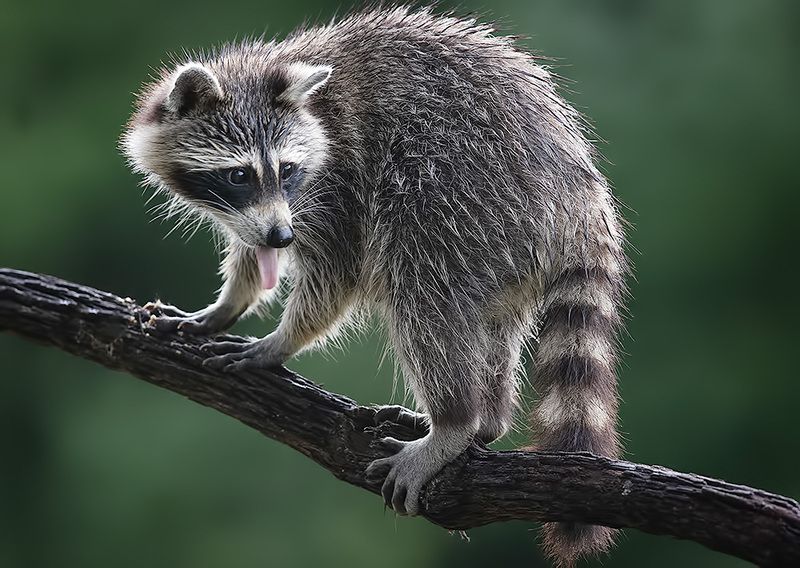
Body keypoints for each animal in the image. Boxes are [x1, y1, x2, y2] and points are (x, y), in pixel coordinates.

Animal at [122, 6, 627, 566]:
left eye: (287, 169)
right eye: (238, 175)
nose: (282, 236)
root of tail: (580, 191)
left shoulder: (339, 179)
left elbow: (335, 273)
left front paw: (283, 339)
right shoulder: (259, 211)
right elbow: (251, 250)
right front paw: (229, 302)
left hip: (465, 192)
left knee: (421, 290)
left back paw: (456, 421)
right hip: (508, 246)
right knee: (490, 324)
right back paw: (487, 417)